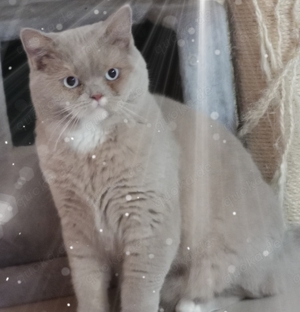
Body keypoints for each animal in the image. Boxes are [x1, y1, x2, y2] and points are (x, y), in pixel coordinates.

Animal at [20, 4, 300, 312]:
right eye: (71, 82)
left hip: (221, 257)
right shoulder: (79, 231)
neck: (93, 150)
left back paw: (191, 304)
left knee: (242, 289)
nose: (96, 96)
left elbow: (139, 292)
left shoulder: (149, 227)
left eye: (112, 74)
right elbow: (88, 287)